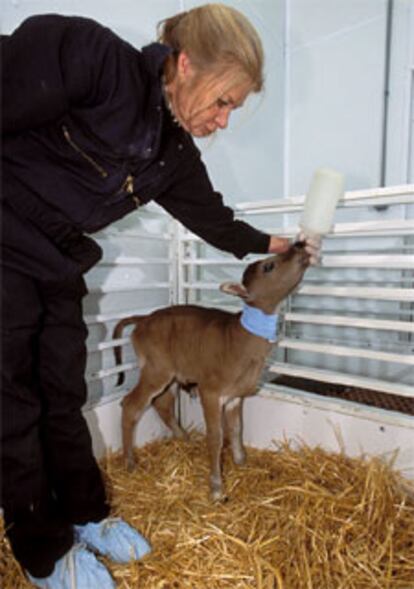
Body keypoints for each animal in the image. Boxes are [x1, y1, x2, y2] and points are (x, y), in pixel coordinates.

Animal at [115, 241, 308, 498]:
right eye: (269, 265)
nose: (298, 245)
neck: (241, 340)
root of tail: (143, 318)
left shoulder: (235, 397)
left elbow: (236, 429)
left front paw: (241, 462)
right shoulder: (210, 392)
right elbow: (216, 437)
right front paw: (217, 487)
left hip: (171, 376)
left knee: (162, 403)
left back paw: (184, 438)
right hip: (156, 370)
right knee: (131, 404)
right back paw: (129, 462)